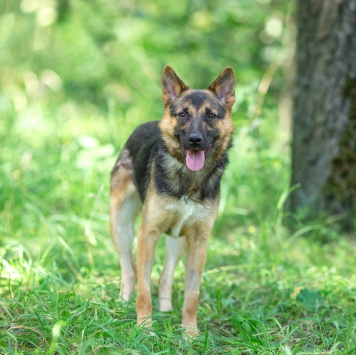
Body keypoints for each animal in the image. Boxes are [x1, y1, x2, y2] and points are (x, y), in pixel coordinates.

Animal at [110, 66, 235, 336]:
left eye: (211, 115)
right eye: (182, 114)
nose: (195, 140)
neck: (188, 180)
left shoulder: (198, 241)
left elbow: (192, 294)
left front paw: (190, 333)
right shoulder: (148, 234)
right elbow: (144, 289)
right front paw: (144, 328)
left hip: (178, 241)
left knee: (166, 276)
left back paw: (166, 310)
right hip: (121, 226)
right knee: (129, 270)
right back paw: (123, 303)